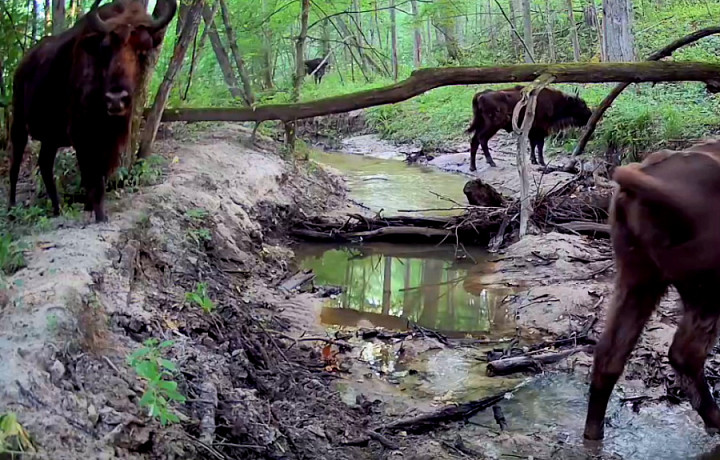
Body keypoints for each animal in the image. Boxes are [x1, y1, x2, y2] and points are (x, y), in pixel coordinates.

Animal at [9, 0, 177, 221]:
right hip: (19, 123)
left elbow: (101, 173)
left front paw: (90, 206)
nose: (116, 99)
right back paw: (11, 209)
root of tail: (21, 66)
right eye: (105, 49)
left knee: (44, 163)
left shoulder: (111, 138)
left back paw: (57, 208)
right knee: (15, 163)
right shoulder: (82, 135)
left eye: (143, 49)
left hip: (50, 137)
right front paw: (99, 214)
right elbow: (92, 174)